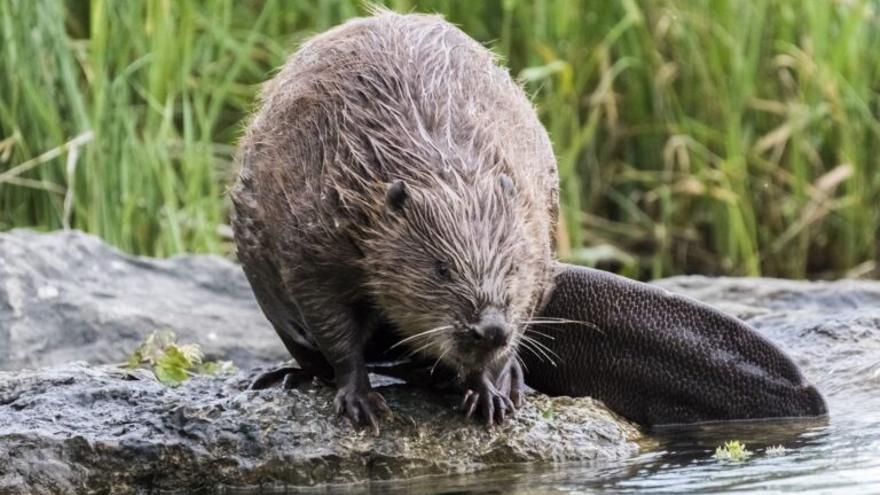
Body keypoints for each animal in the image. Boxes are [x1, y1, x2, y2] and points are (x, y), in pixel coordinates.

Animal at [229, 9, 556, 432]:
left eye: (514, 267)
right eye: (442, 269)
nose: (490, 329)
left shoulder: (536, 238)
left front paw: (489, 395)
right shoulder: (314, 238)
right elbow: (330, 321)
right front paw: (362, 403)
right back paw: (285, 376)